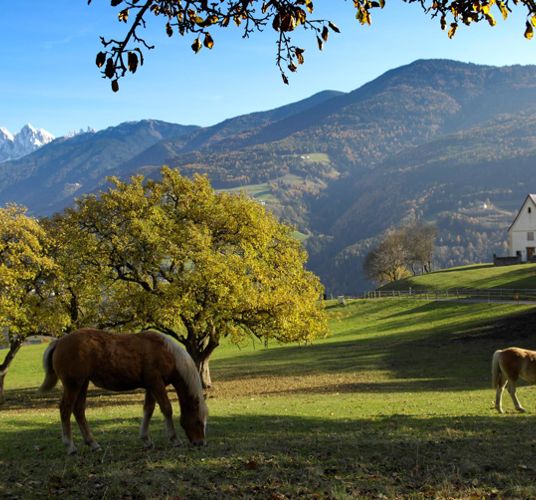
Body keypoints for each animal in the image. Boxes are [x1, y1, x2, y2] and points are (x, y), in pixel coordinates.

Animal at [39, 328, 207, 454]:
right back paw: (70, 446)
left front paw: (146, 439)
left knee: (79, 410)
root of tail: (60, 341)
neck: (167, 353)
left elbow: (148, 410)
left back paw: (93, 444)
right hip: (73, 385)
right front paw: (174, 439)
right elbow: (167, 409)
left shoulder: (151, 386)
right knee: (65, 410)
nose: (200, 443)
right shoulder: (156, 384)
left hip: (83, 384)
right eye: (198, 421)